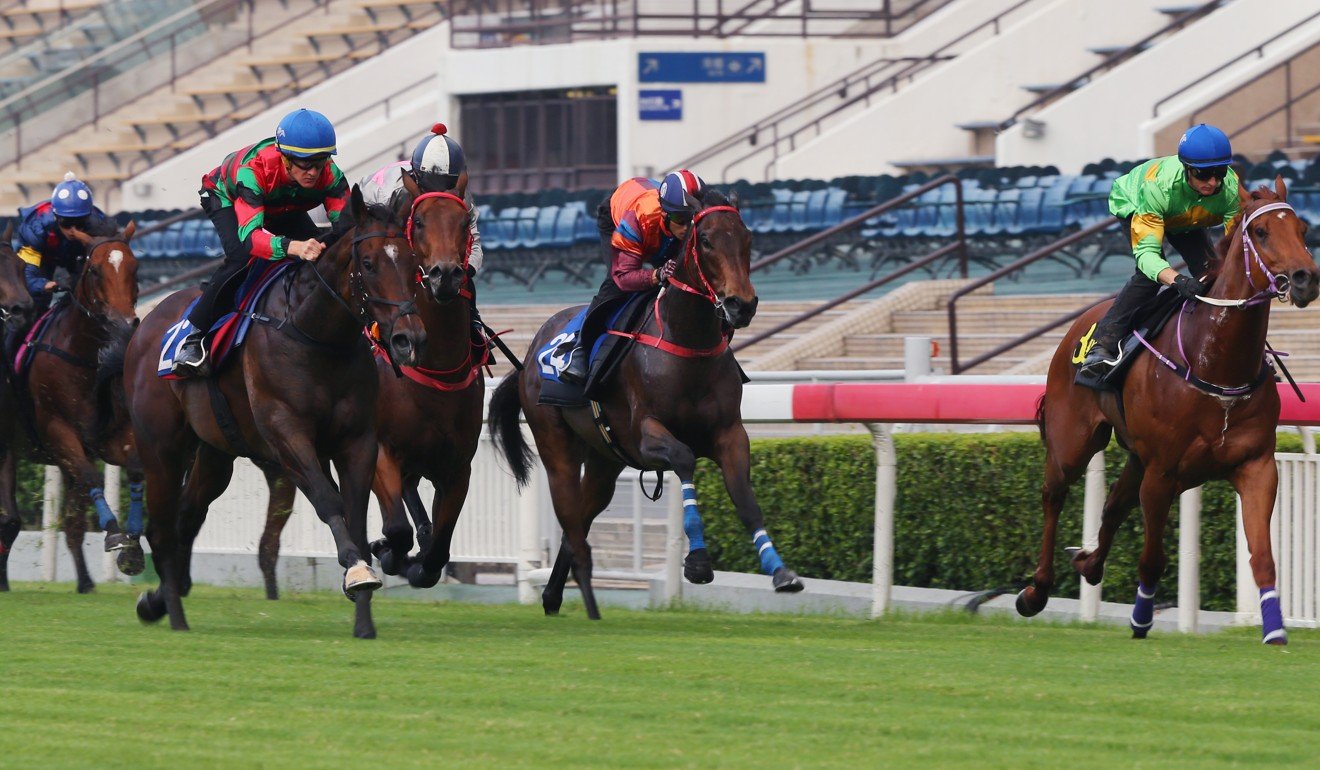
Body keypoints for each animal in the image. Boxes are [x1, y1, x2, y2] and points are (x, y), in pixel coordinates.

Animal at [0, 220, 145, 594]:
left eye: (135, 268)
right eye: (94, 270)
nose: (124, 324)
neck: (82, 357)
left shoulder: (110, 437)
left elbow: (135, 470)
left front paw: (132, 547)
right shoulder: (59, 434)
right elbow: (91, 476)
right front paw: (114, 534)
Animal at [120, 188, 422, 639]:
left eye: (412, 262)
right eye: (368, 264)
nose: (409, 337)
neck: (314, 332)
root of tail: (147, 321)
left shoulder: (357, 439)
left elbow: (356, 515)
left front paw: (364, 619)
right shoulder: (286, 434)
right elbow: (328, 500)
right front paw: (356, 572)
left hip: (215, 452)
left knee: (187, 515)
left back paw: (157, 601)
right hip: (161, 450)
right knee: (161, 526)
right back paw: (173, 613)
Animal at [254, 171, 488, 596]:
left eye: (465, 223)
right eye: (419, 222)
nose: (445, 275)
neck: (434, 372)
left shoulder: (457, 467)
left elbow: (438, 551)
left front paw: (415, 559)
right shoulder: (380, 450)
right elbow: (396, 528)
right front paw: (386, 552)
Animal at [488, 191, 802, 620]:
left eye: (747, 239)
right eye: (706, 240)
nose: (742, 305)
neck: (688, 343)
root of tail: (528, 354)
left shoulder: (730, 434)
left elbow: (745, 498)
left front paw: (780, 570)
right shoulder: (646, 434)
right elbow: (684, 458)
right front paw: (698, 561)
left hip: (605, 460)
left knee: (579, 523)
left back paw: (553, 596)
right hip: (556, 445)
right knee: (570, 518)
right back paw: (585, 603)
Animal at [1019, 180, 1320, 644]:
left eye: (1303, 229)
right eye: (1262, 232)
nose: (1307, 278)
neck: (1215, 363)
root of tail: (1079, 325)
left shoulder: (1255, 465)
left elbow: (1263, 556)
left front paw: (1274, 630)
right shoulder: (1162, 473)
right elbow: (1152, 559)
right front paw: (1141, 619)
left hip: (1137, 458)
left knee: (1113, 506)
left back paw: (1089, 562)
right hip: (1073, 443)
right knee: (1053, 496)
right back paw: (1036, 591)